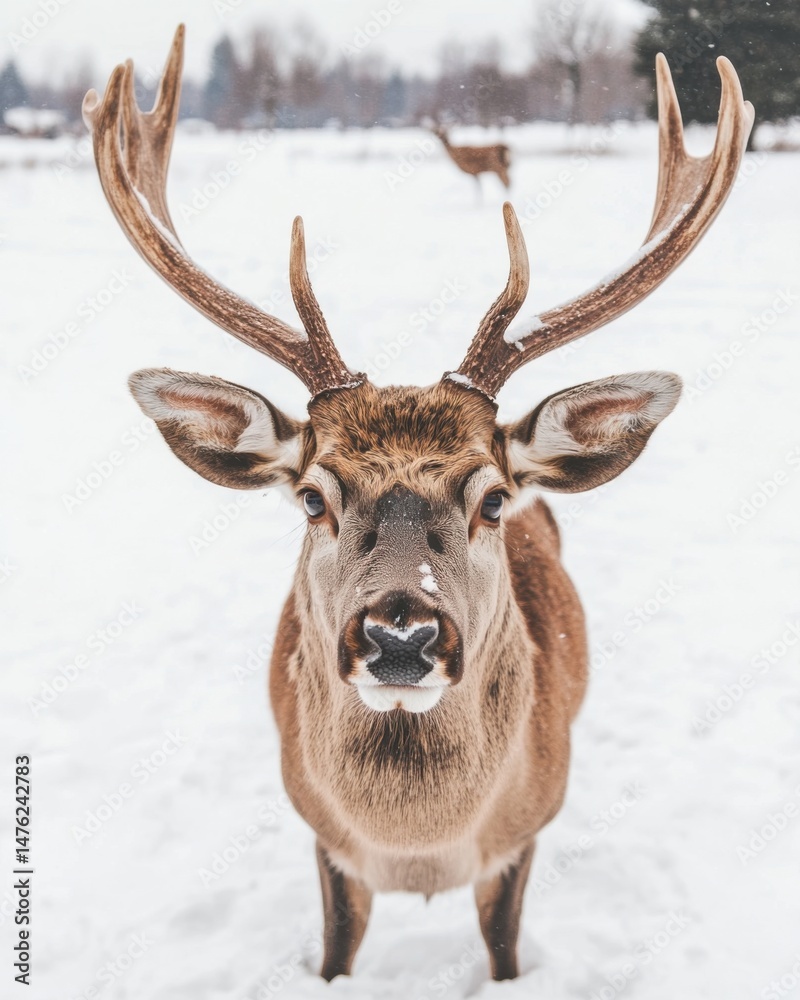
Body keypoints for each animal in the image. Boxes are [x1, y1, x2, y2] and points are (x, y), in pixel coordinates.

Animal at [82, 25, 752, 984]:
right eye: (313, 497)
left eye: (494, 499)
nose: (402, 633)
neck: (419, 849)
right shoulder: (323, 838)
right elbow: (336, 954)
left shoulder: (523, 834)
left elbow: (504, 950)